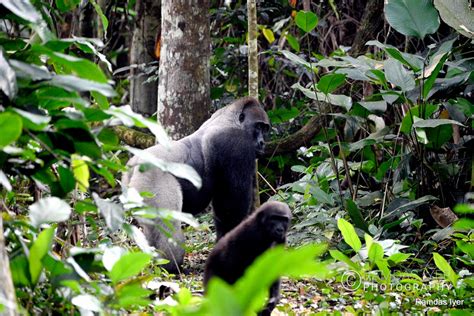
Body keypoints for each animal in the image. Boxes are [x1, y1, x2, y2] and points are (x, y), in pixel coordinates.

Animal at [122, 97, 270, 272]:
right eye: (258, 126)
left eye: (265, 129)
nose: (262, 143)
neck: (231, 118)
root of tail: (134, 164)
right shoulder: (236, 144)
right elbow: (231, 209)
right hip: (151, 180)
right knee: (167, 225)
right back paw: (171, 267)